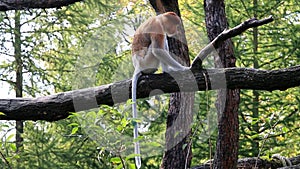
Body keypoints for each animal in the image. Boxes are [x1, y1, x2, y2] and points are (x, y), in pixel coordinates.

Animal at [131, 11, 190, 168]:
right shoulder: (157, 28)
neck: (159, 18)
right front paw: (185, 68)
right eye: (174, 24)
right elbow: (158, 50)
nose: (174, 30)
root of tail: (137, 66)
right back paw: (169, 70)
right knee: (157, 47)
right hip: (148, 62)